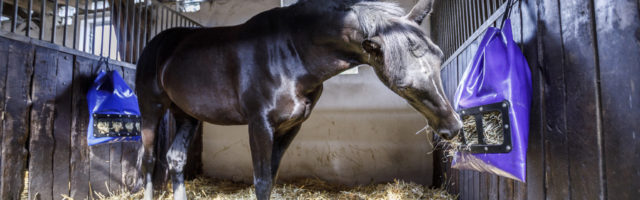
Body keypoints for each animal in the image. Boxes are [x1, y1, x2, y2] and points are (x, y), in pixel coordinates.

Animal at [138, 0, 462, 199]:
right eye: (403, 83)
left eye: (439, 56)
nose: (453, 127)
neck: (288, 52)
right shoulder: (260, 125)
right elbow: (261, 181)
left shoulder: (290, 127)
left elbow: (272, 177)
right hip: (151, 110)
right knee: (151, 159)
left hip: (187, 115)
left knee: (175, 159)